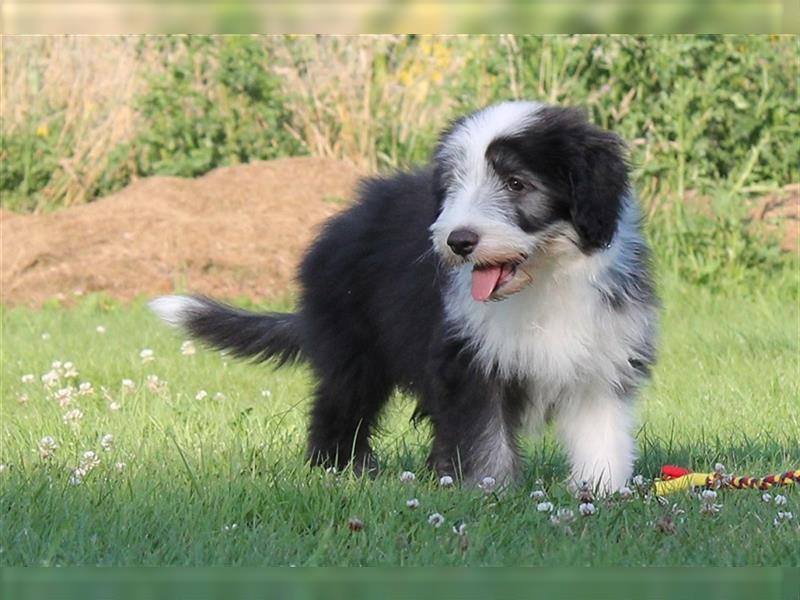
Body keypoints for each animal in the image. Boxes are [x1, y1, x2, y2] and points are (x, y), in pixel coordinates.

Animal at [150, 102, 656, 492]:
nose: (459, 241)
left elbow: (601, 436)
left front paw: (601, 493)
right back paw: (337, 470)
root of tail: (341, 223)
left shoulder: (601, 357)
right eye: (455, 185)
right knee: (340, 405)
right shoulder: (466, 355)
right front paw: (488, 493)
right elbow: (484, 437)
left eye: (516, 183)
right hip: (353, 347)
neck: (544, 284)